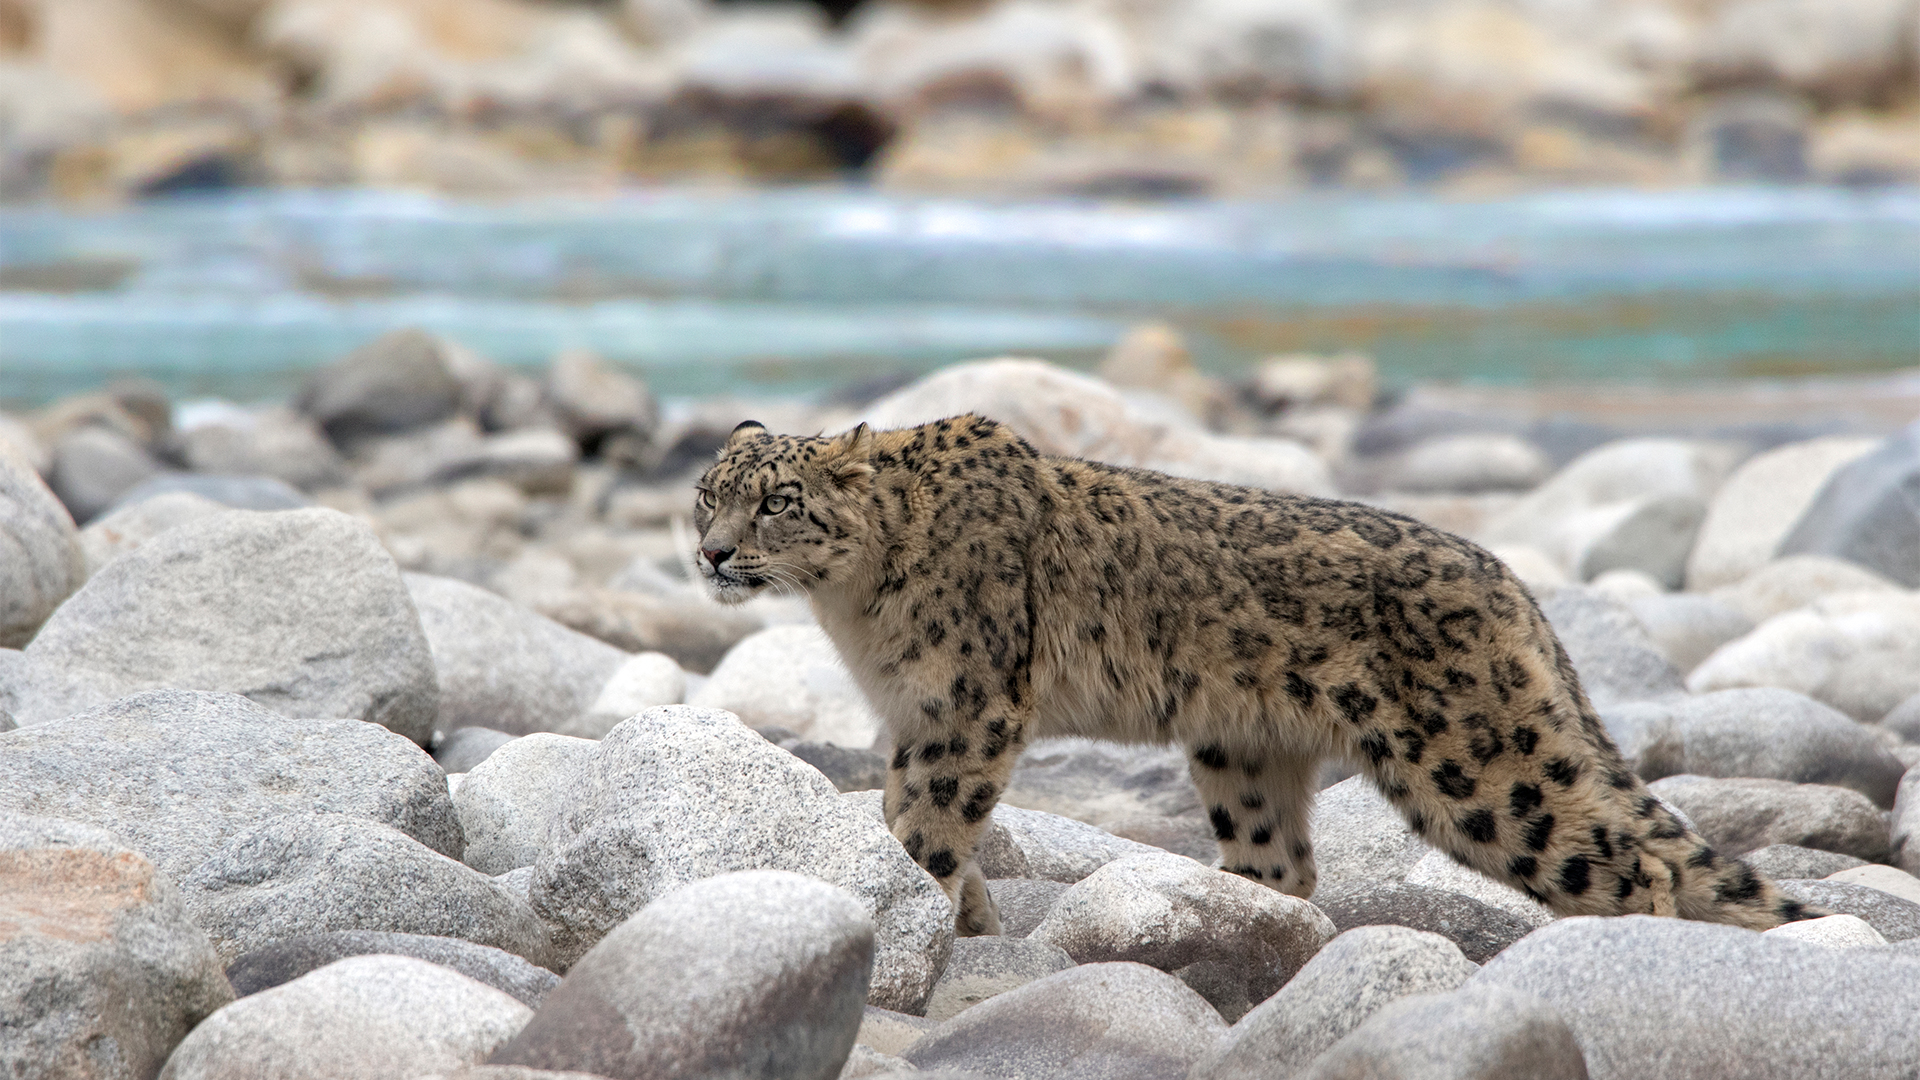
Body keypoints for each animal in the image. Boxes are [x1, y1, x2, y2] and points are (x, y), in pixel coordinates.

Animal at [692, 413, 1825, 937]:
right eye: (707, 491)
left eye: (779, 500)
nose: (710, 554)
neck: (853, 611)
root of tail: (1511, 582)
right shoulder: (916, 715)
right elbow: (902, 811)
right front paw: (955, 916)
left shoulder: (967, 709)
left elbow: (925, 824)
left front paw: (922, 913)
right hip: (1242, 752)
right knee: (1284, 867)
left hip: (1484, 778)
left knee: (1637, 869)